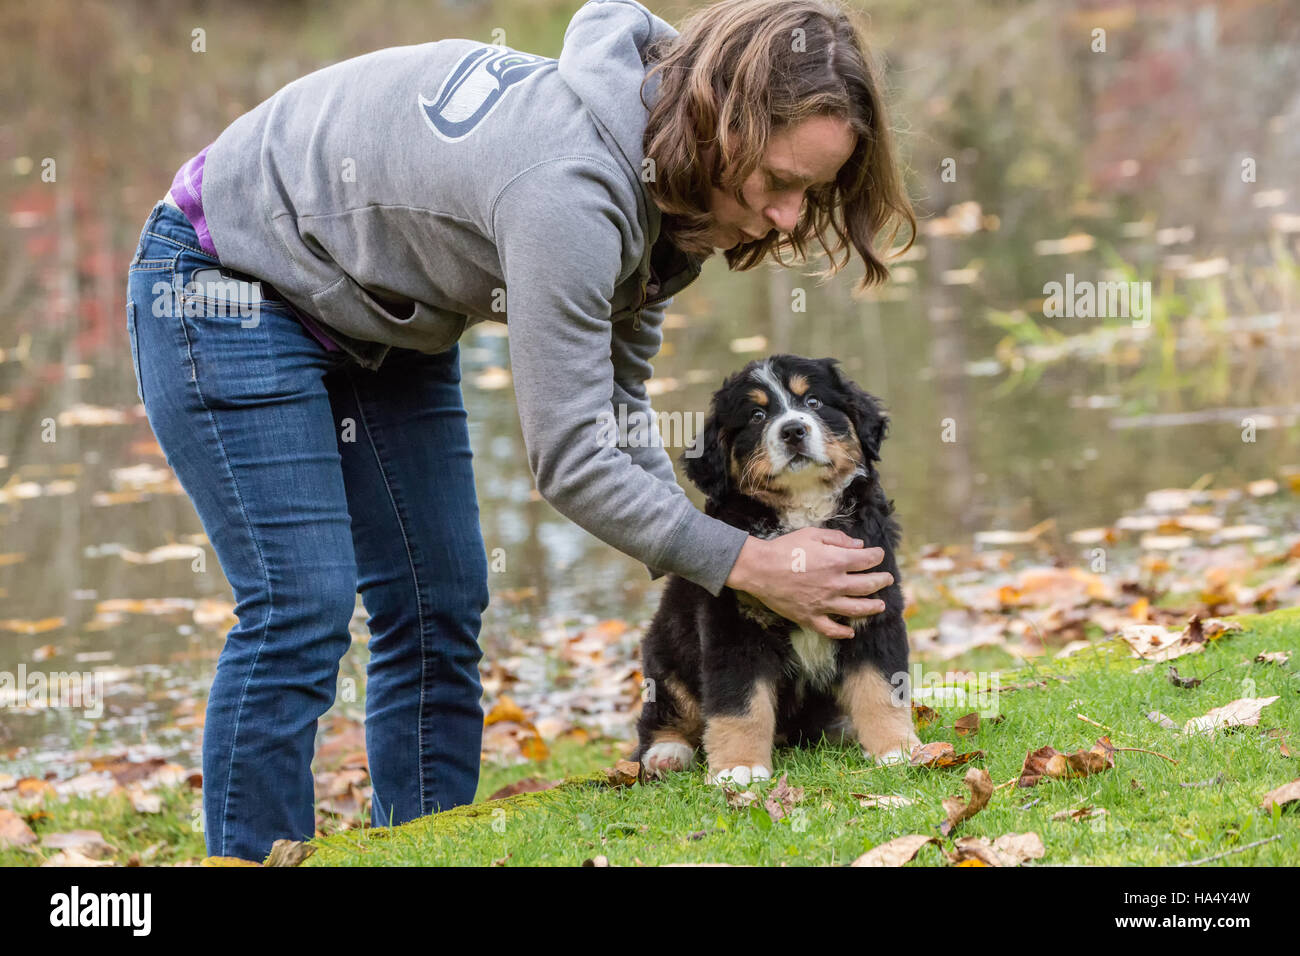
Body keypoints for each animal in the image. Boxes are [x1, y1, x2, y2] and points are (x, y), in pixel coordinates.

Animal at [631, 356, 920, 790]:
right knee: (665, 714)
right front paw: (739, 767)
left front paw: (895, 749)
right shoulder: (733, 627)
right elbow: (740, 703)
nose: (793, 430)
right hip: (664, 655)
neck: (803, 511)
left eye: (814, 401)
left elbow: (881, 687)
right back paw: (667, 753)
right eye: (757, 415)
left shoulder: (873, 606)